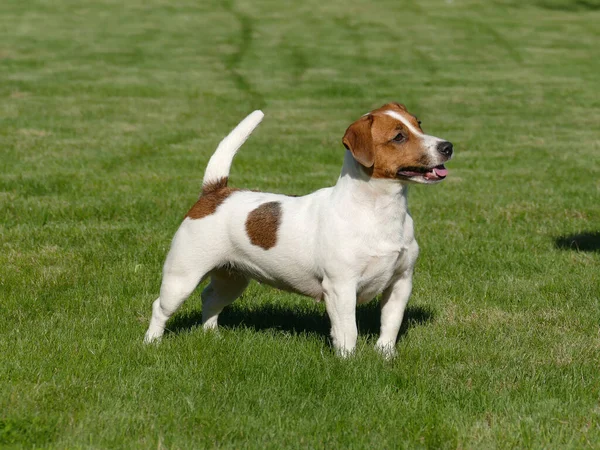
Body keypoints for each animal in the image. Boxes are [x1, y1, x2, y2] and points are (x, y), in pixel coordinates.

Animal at [145, 103, 452, 358]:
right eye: (399, 137)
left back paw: (212, 335)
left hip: (232, 277)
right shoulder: (340, 288)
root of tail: (215, 192)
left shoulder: (401, 282)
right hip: (182, 276)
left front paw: (386, 357)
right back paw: (152, 343)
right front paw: (348, 362)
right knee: (161, 307)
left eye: (419, 124)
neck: (379, 212)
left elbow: (390, 325)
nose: (448, 146)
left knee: (210, 299)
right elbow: (347, 331)